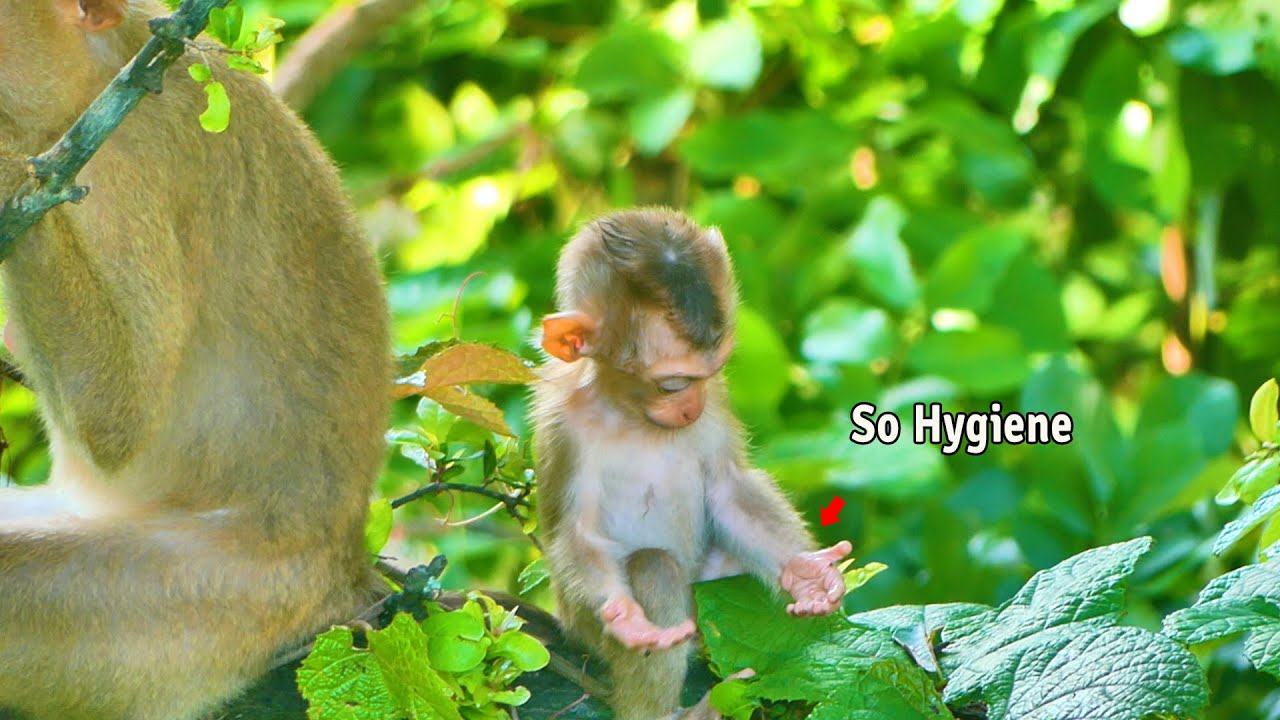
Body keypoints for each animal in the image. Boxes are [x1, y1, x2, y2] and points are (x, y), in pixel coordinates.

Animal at [532, 208, 852, 720]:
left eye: (713, 372)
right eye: (673, 384)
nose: (691, 409)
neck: (630, 415)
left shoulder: (717, 403)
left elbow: (728, 491)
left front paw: (806, 575)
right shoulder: (562, 425)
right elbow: (575, 534)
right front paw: (625, 616)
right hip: (583, 631)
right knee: (653, 567)